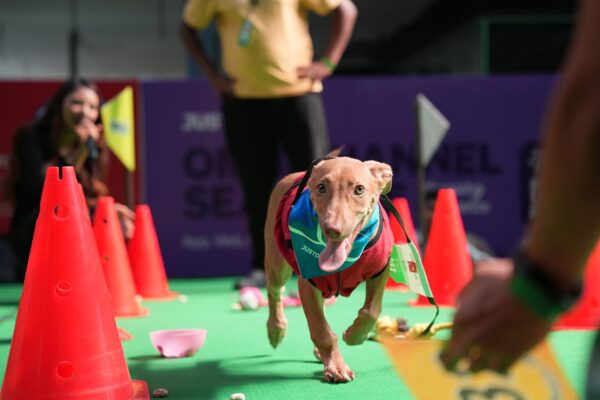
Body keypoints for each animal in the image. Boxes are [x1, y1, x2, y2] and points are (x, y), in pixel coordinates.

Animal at [262, 155, 394, 382]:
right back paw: (276, 328)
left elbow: (371, 311)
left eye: (359, 189)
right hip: (276, 263)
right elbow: (321, 330)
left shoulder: (380, 270)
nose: (332, 229)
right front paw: (336, 366)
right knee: (274, 290)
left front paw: (354, 335)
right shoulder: (307, 283)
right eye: (321, 188)